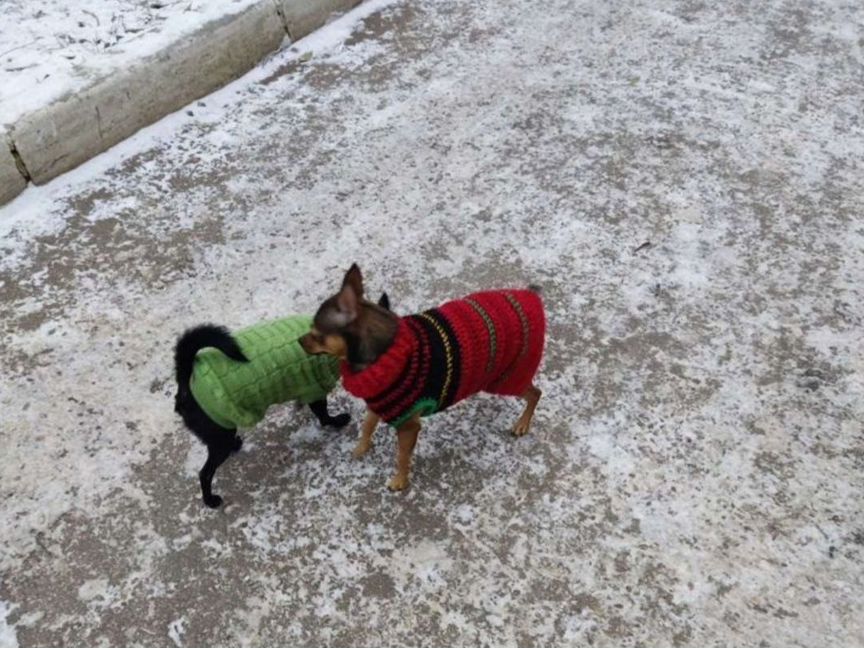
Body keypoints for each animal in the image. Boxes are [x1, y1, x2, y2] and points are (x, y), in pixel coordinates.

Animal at [300, 264, 544, 492]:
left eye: (315, 333)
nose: (299, 341)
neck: (385, 354)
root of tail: (531, 295)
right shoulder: (379, 403)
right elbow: (367, 426)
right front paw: (361, 448)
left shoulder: (408, 426)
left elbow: (402, 456)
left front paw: (400, 480)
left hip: (508, 378)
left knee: (535, 393)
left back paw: (522, 424)